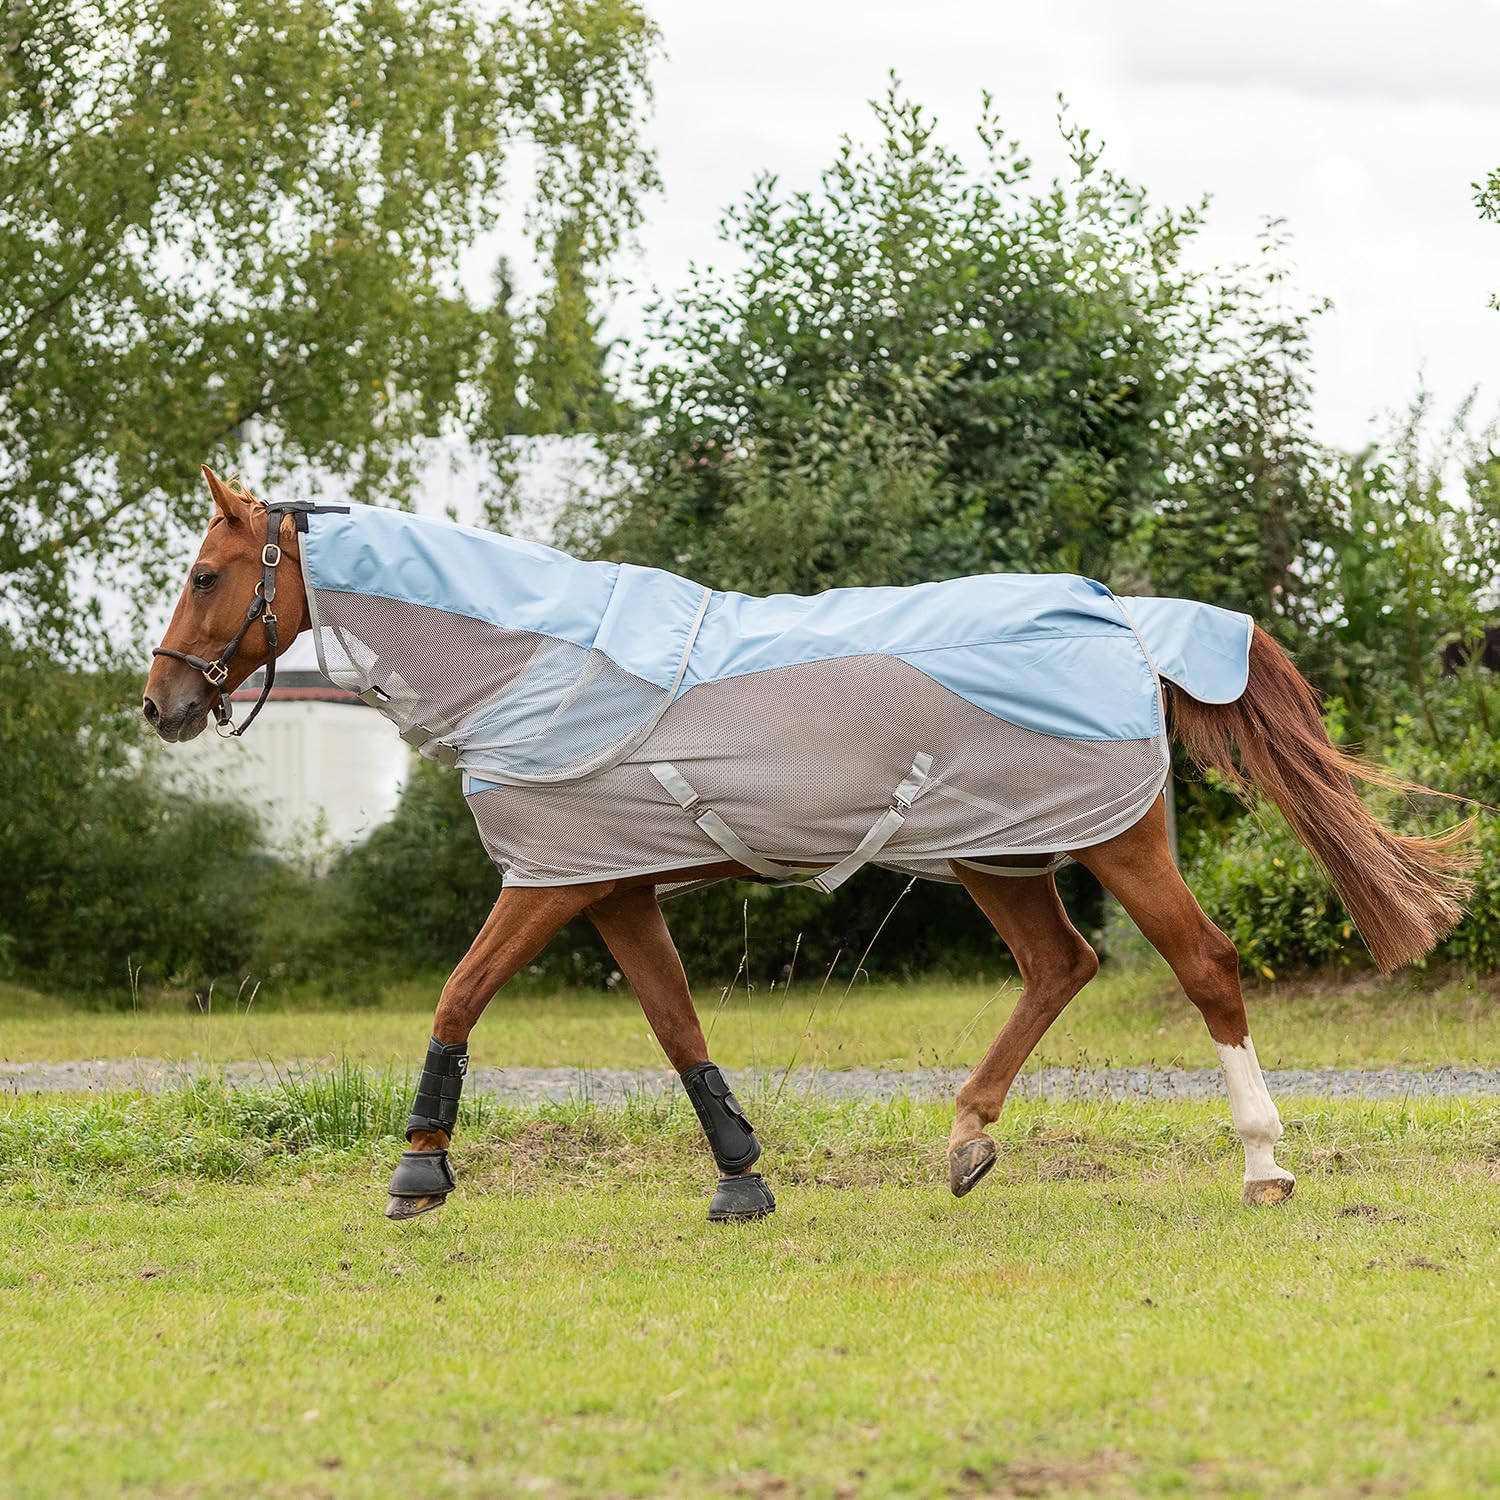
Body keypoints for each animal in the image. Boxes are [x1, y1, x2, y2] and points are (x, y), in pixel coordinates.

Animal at [143, 467, 1473, 1222]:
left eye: (208, 573)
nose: (161, 705)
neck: (539, 665)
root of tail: (1123, 616)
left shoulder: (554, 880)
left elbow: (460, 995)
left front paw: (418, 1171)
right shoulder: (611, 887)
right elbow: (678, 1028)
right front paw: (741, 1177)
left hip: (1115, 845)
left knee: (1203, 966)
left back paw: (1263, 1166)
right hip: (997, 856)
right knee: (1061, 967)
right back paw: (966, 1142)